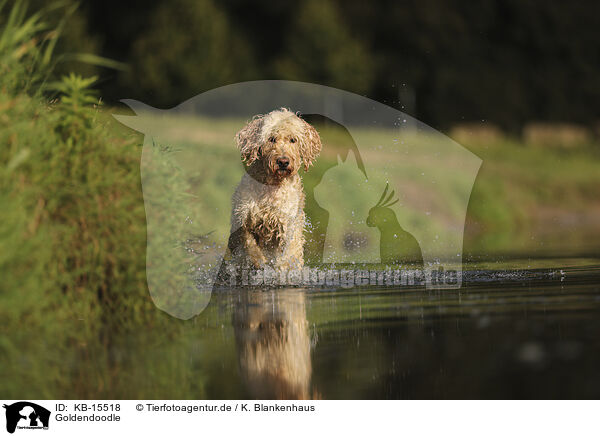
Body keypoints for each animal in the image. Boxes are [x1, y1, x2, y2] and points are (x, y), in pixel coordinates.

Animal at [229, 108, 322, 272]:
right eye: (271, 139)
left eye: (293, 140)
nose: (283, 162)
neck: (271, 186)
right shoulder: (243, 217)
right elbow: (249, 243)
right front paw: (259, 261)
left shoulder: (286, 225)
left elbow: (286, 255)